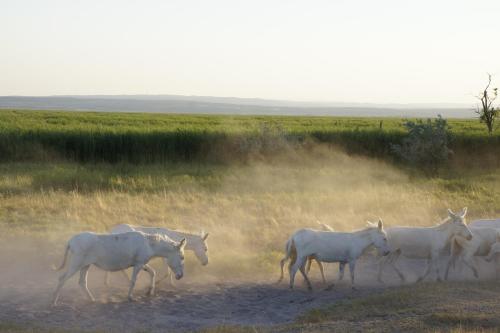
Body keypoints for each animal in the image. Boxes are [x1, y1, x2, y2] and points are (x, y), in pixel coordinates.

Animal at [52, 231, 186, 304]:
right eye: (182, 257)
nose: (180, 276)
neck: (149, 244)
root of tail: (70, 241)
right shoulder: (138, 264)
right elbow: (133, 281)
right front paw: (130, 297)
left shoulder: (141, 263)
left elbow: (152, 272)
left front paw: (149, 292)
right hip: (77, 263)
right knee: (62, 279)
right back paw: (54, 301)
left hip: (85, 265)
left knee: (82, 282)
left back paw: (92, 299)